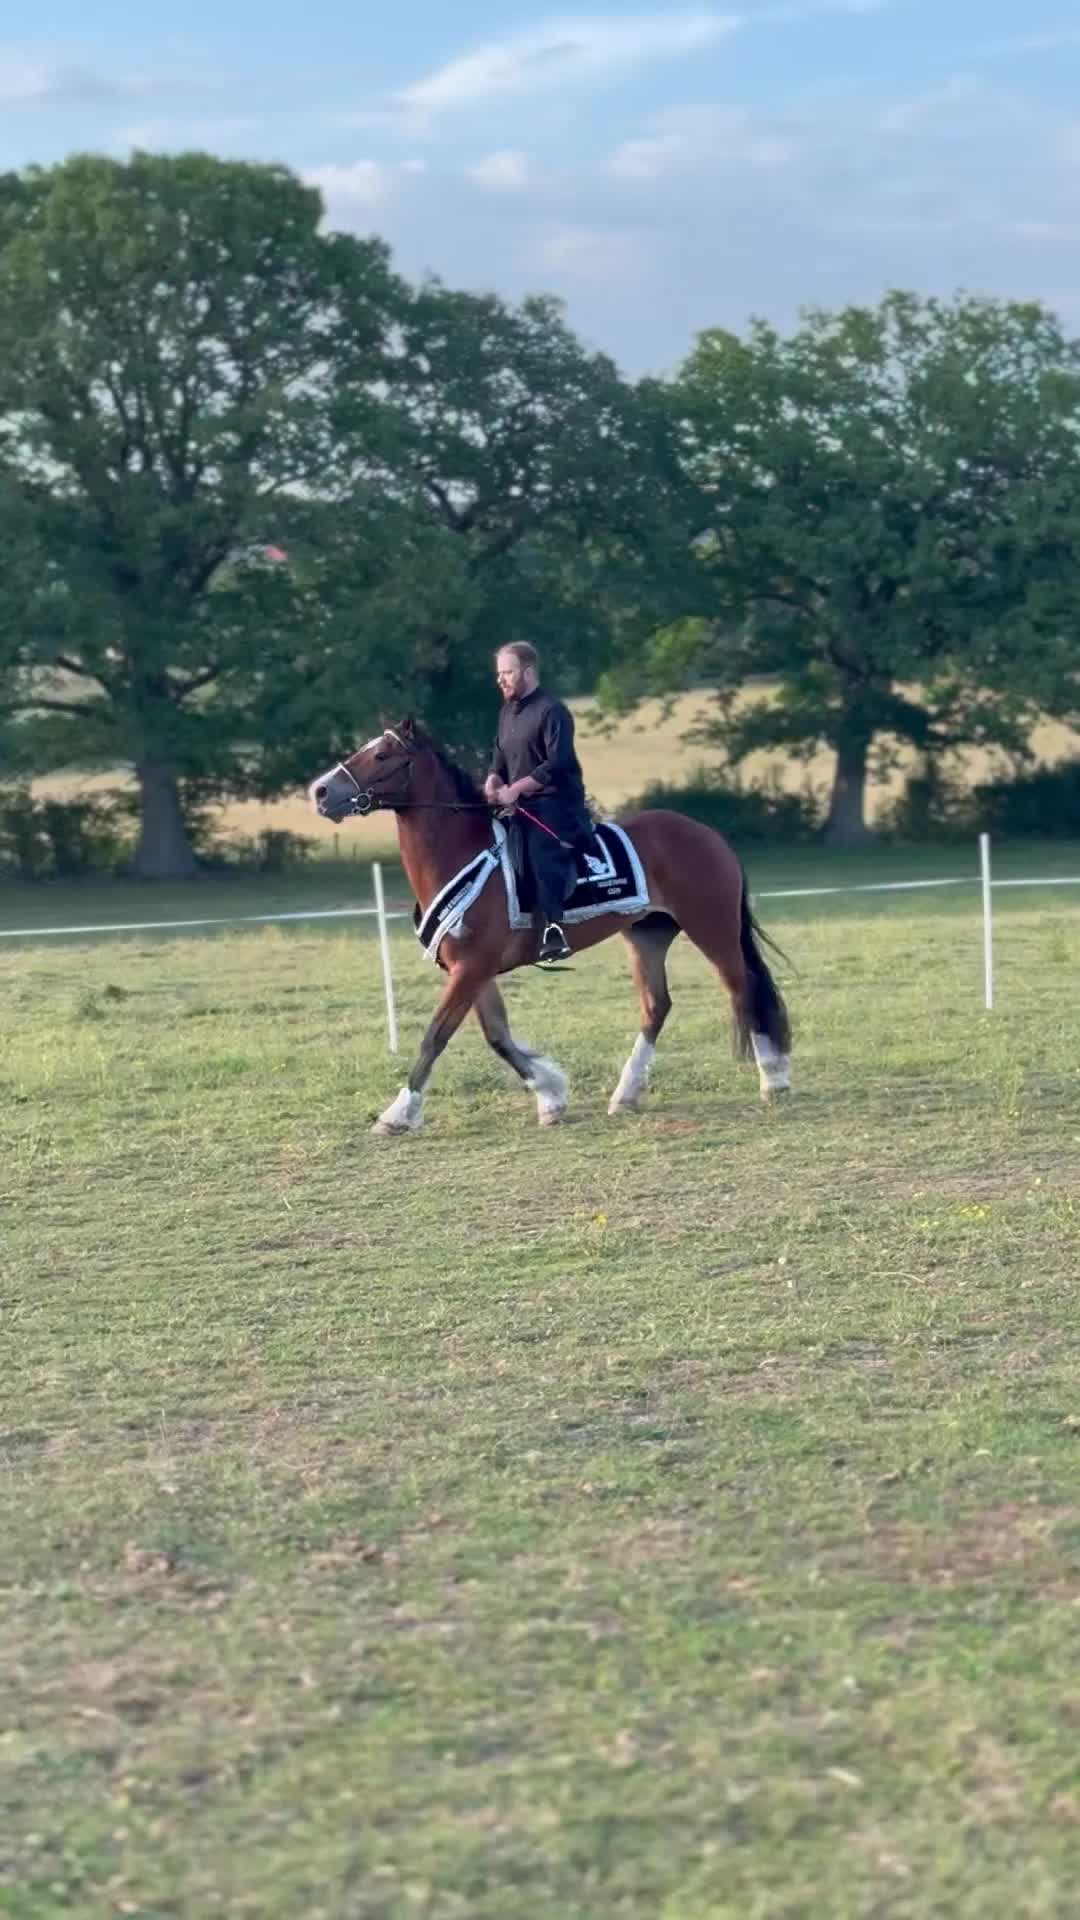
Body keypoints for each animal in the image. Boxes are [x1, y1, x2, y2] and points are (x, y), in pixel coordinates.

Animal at [308, 719, 792, 1136]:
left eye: (382, 754)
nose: (320, 790)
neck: (464, 851)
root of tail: (707, 834)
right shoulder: (472, 971)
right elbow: (498, 1037)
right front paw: (551, 1094)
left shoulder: (471, 969)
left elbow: (435, 1037)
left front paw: (398, 1113)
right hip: (647, 935)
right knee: (657, 1007)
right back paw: (626, 1094)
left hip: (711, 928)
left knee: (743, 987)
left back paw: (773, 1079)